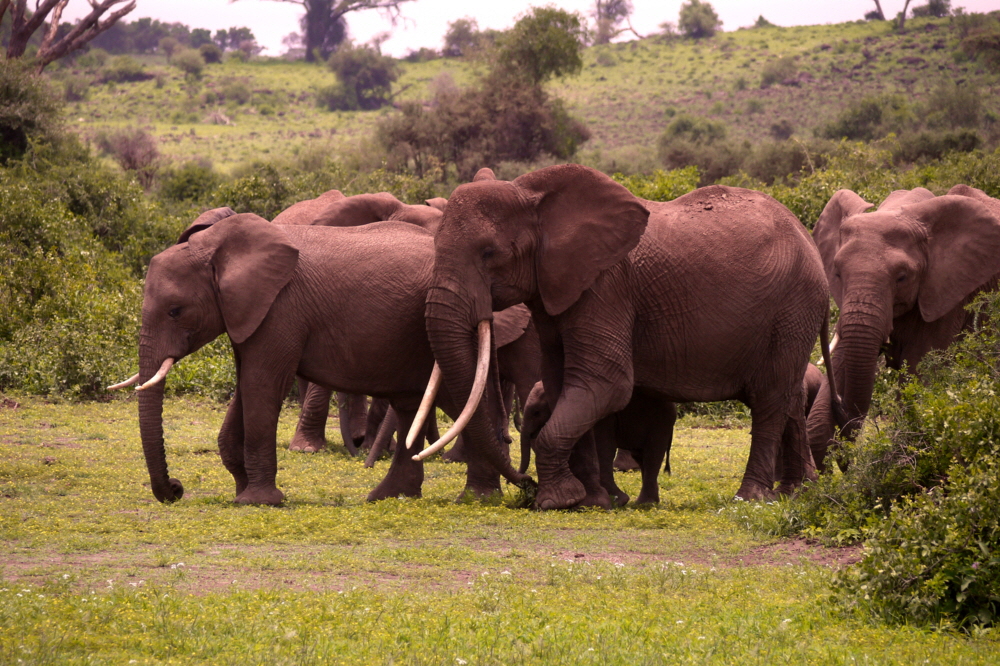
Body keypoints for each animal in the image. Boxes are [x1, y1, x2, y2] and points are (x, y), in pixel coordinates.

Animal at [112, 208, 528, 504]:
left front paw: (257, 501)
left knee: (457, 398)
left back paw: (478, 499)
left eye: (175, 311)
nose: (176, 488)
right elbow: (247, 384)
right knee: (415, 403)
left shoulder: (280, 309)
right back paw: (392, 497)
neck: (215, 248)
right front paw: (243, 490)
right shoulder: (248, 313)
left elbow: (263, 384)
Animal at [520, 378, 676, 504]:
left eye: (537, 412)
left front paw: (616, 501)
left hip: (661, 424)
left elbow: (604, 447)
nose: (529, 480)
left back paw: (645, 504)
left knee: (652, 455)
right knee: (641, 457)